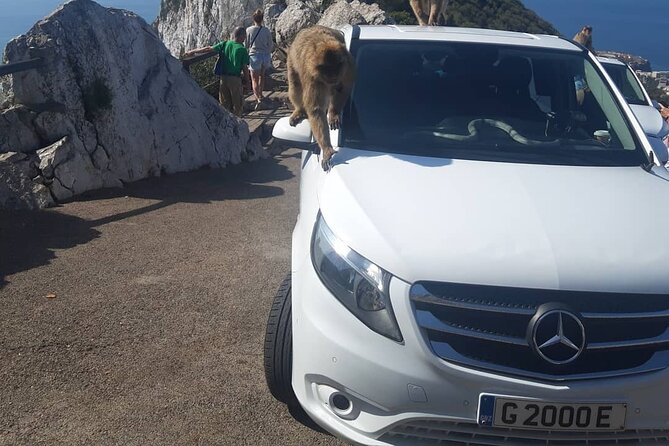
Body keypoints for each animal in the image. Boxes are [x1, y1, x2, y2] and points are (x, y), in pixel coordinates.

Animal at [286, 25, 355, 171]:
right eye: (327, 68)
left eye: (336, 67)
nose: (333, 75)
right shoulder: (312, 76)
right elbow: (316, 110)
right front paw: (327, 149)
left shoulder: (347, 66)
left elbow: (344, 88)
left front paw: (333, 113)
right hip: (291, 60)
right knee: (295, 84)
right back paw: (299, 110)